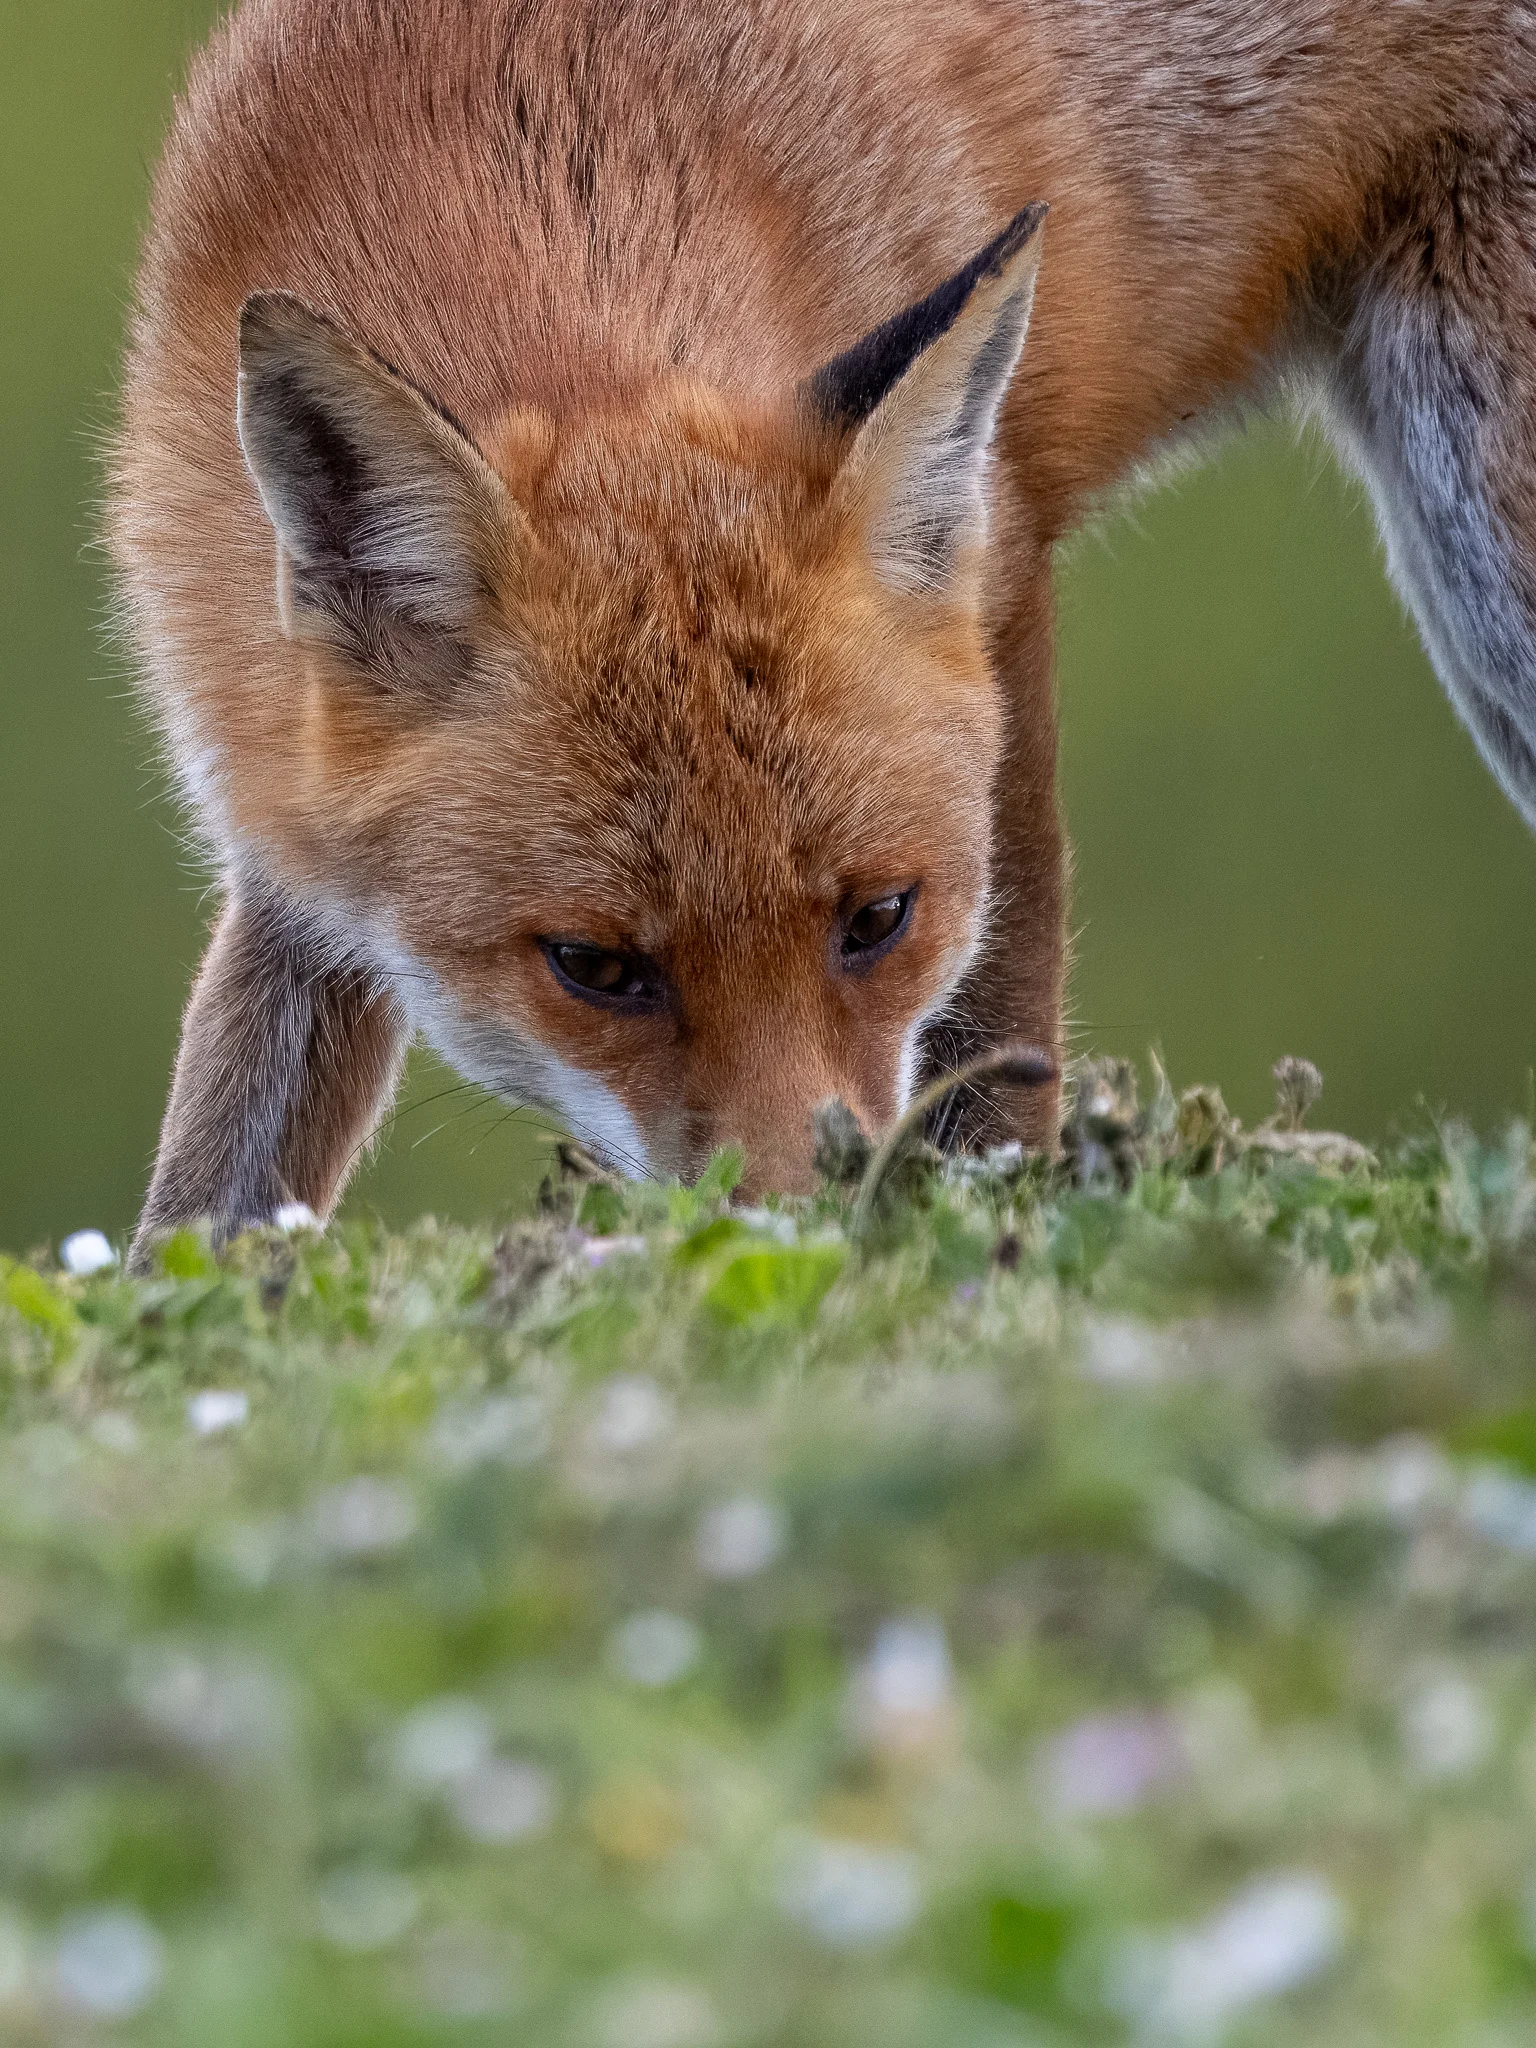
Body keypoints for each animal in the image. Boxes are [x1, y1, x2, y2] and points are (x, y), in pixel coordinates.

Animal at [112, 0, 1536, 1258]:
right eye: (595, 967)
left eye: (881, 918)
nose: (797, 1226)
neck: (523, 128)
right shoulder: (286, 820)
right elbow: (218, 1169)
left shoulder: (999, 577)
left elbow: (993, 1046)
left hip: (1490, 563)